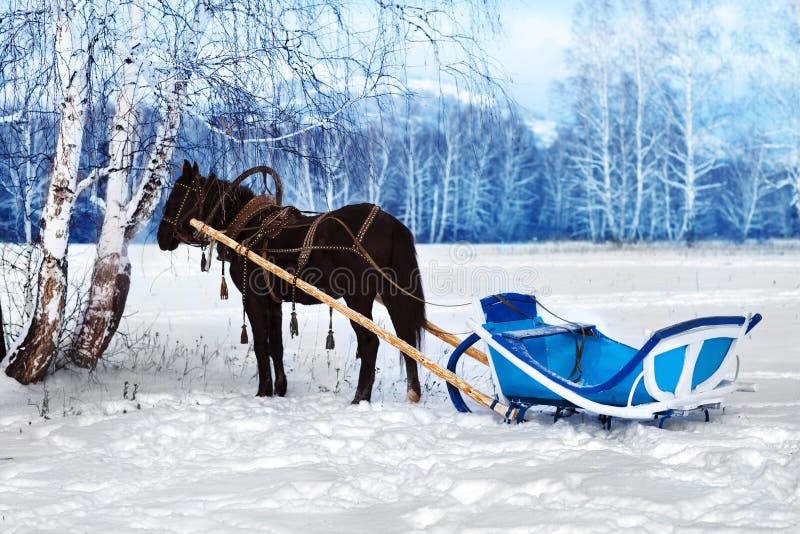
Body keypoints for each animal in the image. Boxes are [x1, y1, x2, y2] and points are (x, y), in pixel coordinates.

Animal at [156, 161, 426, 404]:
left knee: (370, 342)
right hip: (391, 293)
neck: (247, 229)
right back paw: (412, 393)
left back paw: (360, 398)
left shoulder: (253, 298)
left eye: (176, 197)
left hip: (358, 298)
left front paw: (263, 391)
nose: (161, 237)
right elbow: (276, 345)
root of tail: (391, 224)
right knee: (406, 338)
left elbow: (260, 345)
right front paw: (280, 389)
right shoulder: (273, 302)